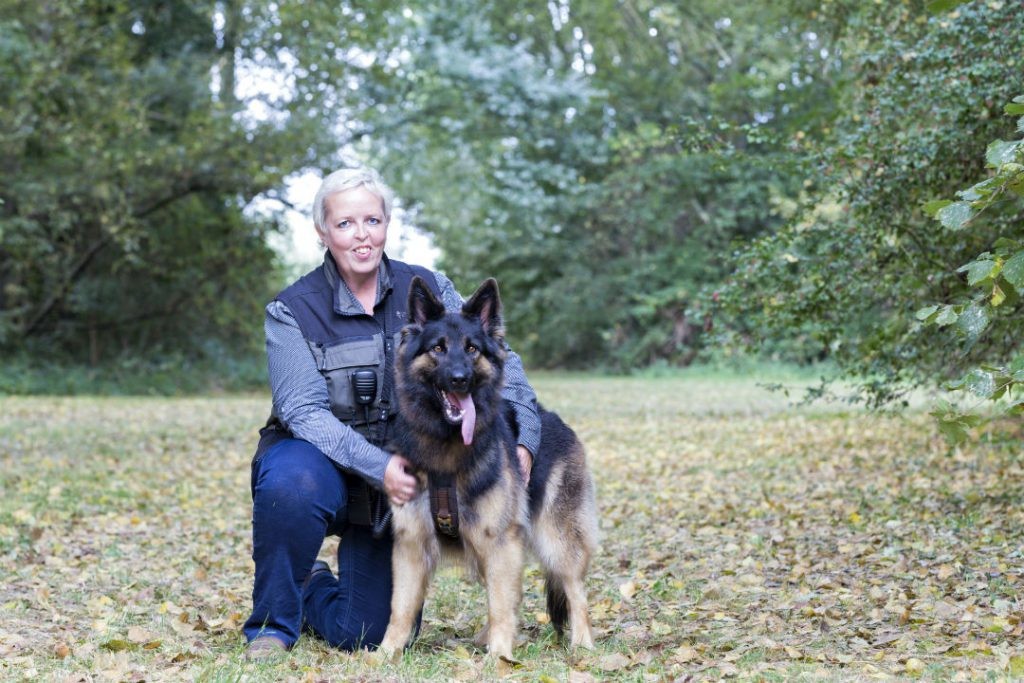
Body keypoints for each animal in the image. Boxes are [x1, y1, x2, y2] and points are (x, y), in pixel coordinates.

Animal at [376, 274, 598, 659]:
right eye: (438, 348)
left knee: (573, 589)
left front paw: (501, 658)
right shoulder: (411, 544)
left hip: (554, 539)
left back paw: (581, 644)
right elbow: (399, 608)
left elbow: (500, 604)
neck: (446, 448)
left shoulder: (500, 540)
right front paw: (384, 655)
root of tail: (556, 421)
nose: (460, 378)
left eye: (472, 349)